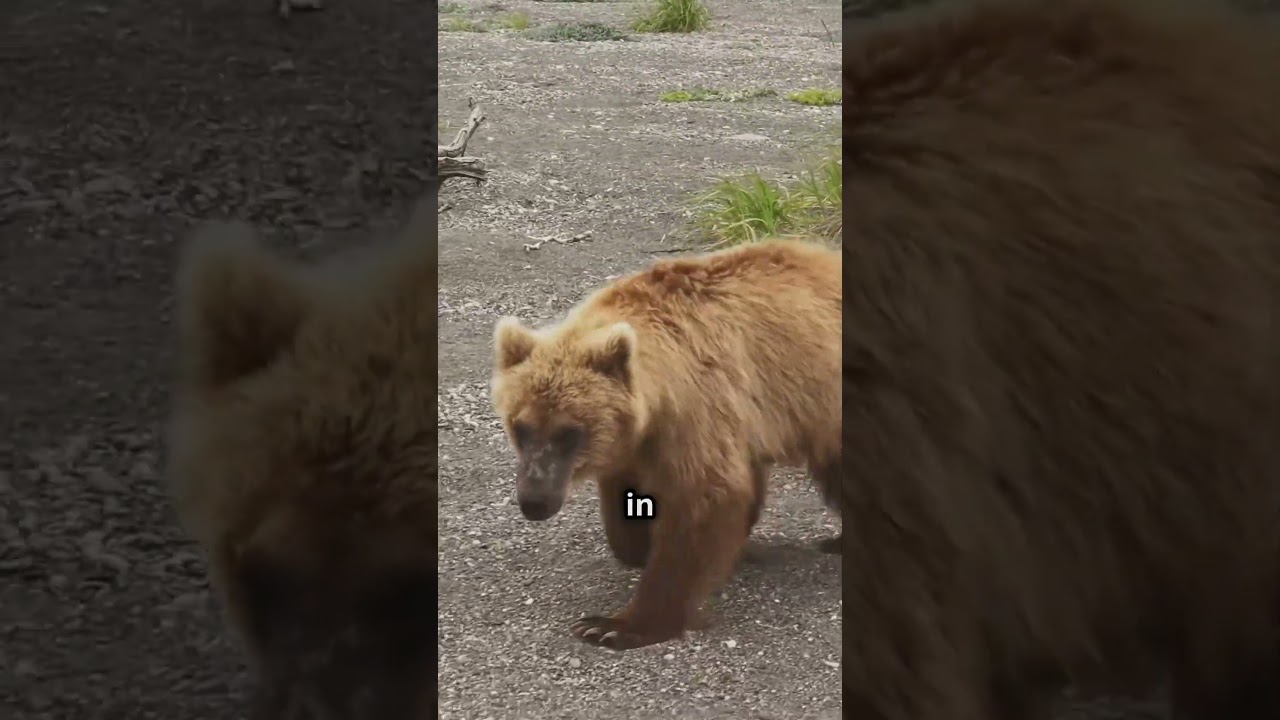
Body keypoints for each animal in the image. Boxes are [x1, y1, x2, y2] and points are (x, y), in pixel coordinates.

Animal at [490, 237, 842, 651]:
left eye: (569, 432)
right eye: (520, 427)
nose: (534, 500)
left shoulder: (700, 409)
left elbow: (702, 501)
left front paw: (613, 624)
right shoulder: (641, 441)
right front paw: (642, 546)